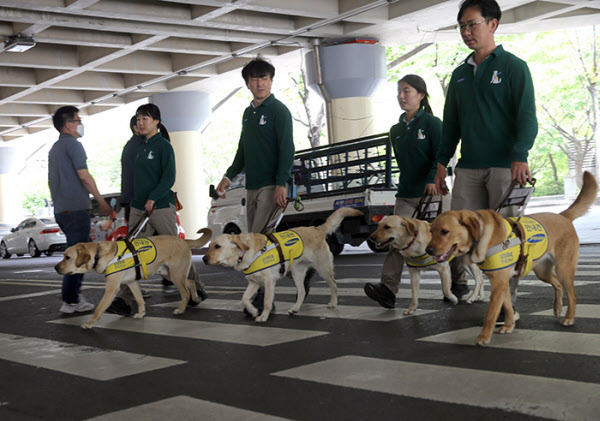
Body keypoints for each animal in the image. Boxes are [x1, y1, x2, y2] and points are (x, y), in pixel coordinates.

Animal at [54, 228, 212, 326]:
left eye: (67, 257)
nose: (55, 268)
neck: (99, 254)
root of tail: (183, 241)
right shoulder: (132, 283)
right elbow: (140, 300)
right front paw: (141, 314)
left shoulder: (111, 288)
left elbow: (99, 308)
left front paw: (89, 323)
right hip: (170, 274)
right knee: (191, 282)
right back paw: (196, 298)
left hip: (176, 274)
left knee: (185, 293)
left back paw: (181, 309)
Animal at [203, 207, 360, 322]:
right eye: (209, 246)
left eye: (217, 246)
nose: (204, 259)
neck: (245, 253)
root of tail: (316, 228)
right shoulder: (254, 282)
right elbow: (244, 299)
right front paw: (253, 310)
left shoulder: (269, 281)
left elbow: (267, 301)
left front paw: (263, 316)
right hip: (297, 273)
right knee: (302, 291)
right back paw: (295, 309)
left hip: (323, 268)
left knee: (334, 285)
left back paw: (333, 303)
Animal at [426, 171, 596, 344]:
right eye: (431, 231)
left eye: (445, 231)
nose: (428, 250)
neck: (482, 235)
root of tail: (563, 216)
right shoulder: (503, 282)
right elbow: (507, 306)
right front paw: (509, 325)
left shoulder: (499, 283)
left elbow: (491, 313)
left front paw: (484, 336)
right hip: (543, 272)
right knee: (557, 284)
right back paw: (557, 308)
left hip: (563, 269)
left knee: (572, 294)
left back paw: (569, 317)